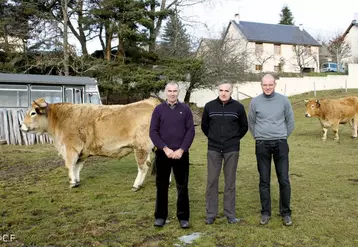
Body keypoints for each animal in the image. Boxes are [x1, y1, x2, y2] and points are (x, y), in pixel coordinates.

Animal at [19, 96, 159, 189]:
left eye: (32, 113)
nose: (21, 126)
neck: (59, 118)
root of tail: (151, 102)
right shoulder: (82, 151)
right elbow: (77, 166)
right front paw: (76, 180)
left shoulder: (70, 148)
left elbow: (70, 165)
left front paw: (72, 183)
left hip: (141, 147)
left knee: (143, 166)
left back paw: (136, 185)